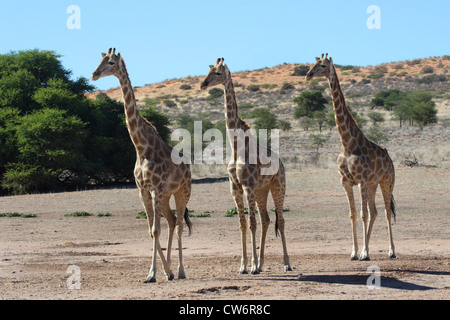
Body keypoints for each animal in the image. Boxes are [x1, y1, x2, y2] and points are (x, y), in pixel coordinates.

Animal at [91, 48, 192, 282]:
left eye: (110, 62)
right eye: (99, 60)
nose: (94, 74)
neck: (141, 147)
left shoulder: (156, 189)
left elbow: (155, 230)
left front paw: (154, 273)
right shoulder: (143, 190)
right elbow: (150, 230)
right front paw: (158, 272)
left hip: (182, 192)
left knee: (180, 224)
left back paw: (181, 271)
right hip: (166, 195)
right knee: (172, 220)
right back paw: (169, 270)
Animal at [200, 57, 292, 272]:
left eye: (218, 73)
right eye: (208, 71)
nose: (203, 84)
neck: (236, 146)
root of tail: (282, 163)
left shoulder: (248, 185)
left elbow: (251, 223)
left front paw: (252, 265)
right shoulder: (235, 187)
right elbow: (242, 223)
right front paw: (244, 265)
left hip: (278, 187)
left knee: (281, 220)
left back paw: (286, 263)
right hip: (262, 190)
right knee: (266, 220)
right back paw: (263, 262)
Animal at [306, 53, 398, 262]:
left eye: (323, 65)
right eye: (313, 64)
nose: (308, 75)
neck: (347, 142)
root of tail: (389, 159)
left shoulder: (361, 180)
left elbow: (362, 214)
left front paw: (365, 253)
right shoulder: (346, 182)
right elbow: (353, 214)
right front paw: (355, 252)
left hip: (386, 181)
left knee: (387, 212)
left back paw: (391, 251)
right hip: (373, 184)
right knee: (374, 212)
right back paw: (366, 250)